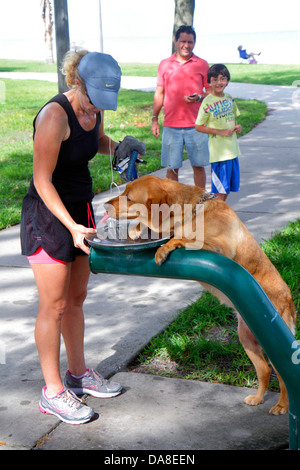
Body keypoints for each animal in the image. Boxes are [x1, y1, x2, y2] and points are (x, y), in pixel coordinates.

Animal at [105, 174, 296, 414]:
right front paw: (136, 230)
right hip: (247, 337)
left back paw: (282, 405)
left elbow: (184, 239)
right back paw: (258, 398)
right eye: (123, 192)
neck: (193, 212)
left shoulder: (219, 246)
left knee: (282, 376)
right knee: (264, 371)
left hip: (271, 341)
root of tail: (289, 298)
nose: (104, 206)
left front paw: (164, 247)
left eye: (129, 197)